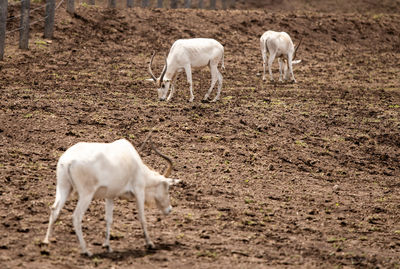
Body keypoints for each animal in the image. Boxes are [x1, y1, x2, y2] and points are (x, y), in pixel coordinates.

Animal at [43, 138, 179, 255]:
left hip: (64, 188)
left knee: (54, 209)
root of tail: (68, 161)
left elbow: (108, 219)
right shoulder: (139, 190)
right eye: (167, 188)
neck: (134, 161)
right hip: (86, 194)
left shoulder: (110, 196)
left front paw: (107, 246)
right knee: (76, 217)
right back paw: (86, 251)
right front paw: (150, 243)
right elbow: (142, 217)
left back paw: (46, 242)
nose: (169, 209)